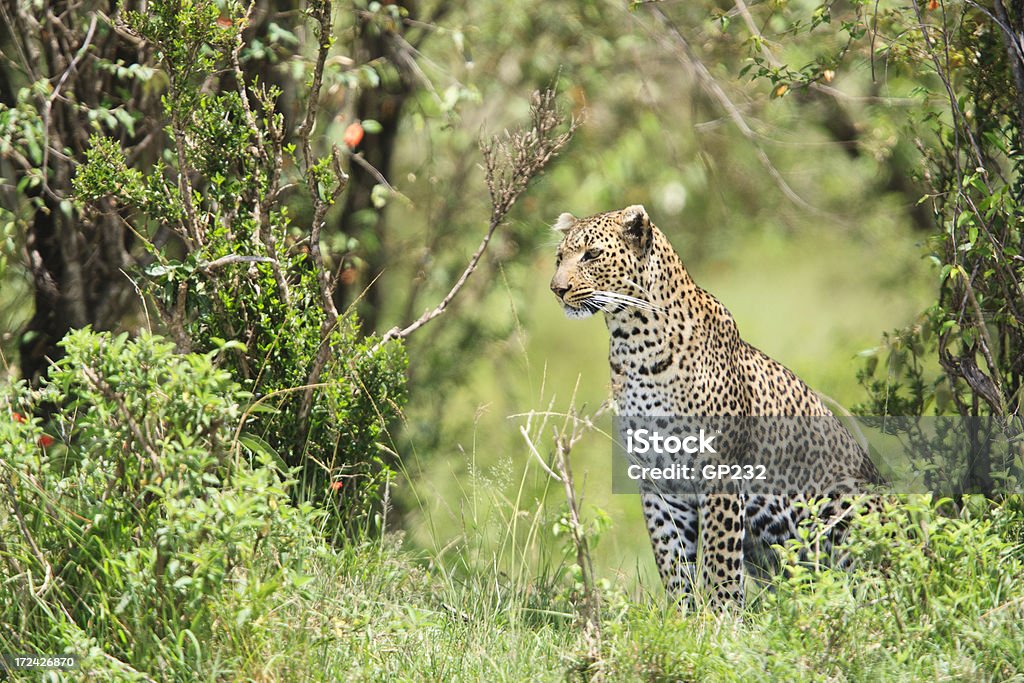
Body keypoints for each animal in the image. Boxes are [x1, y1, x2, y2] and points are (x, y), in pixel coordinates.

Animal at [552, 205, 880, 606]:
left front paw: (721, 613)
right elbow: (672, 557)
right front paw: (682, 614)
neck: (633, 340)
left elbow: (718, 558)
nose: (556, 289)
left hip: (846, 497)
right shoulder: (657, 482)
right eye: (560, 257)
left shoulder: (719, 471)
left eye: (592, 254)